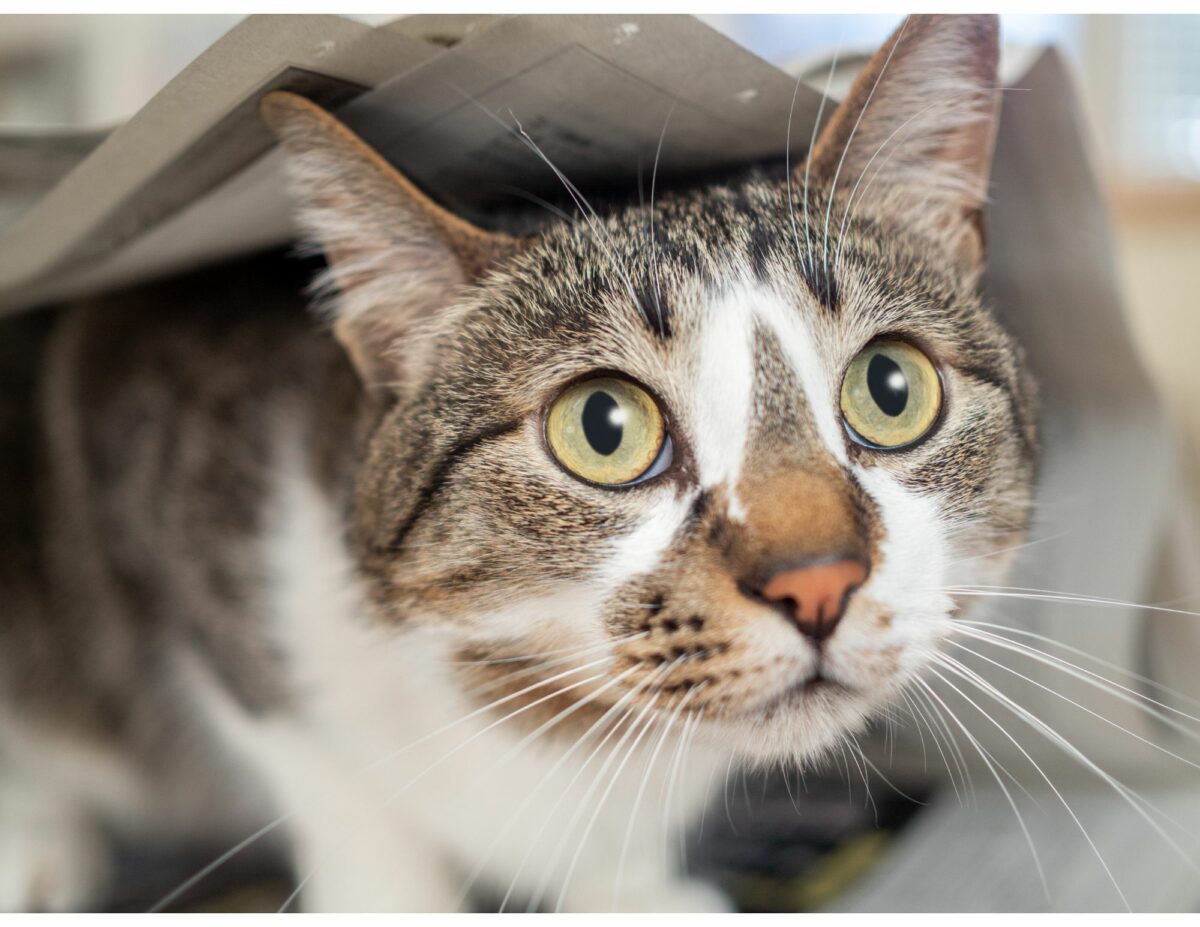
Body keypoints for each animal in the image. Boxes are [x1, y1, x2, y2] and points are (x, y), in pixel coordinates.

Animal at [0, 12, 1036, 912]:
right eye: (604, 427)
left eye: (890, 388)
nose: (818, 582)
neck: (547, 723)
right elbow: (345, 793)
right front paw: (395, 899)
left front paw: (631, 892)